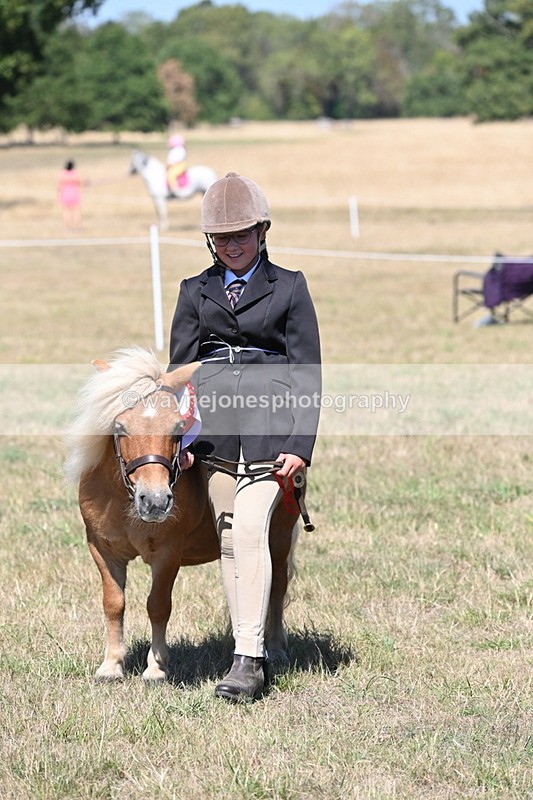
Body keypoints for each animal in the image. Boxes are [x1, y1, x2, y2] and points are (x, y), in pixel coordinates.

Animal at [65, 346, 298, 683]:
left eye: (177, 429)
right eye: (120, 428)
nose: (155, 501)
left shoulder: (167, 553)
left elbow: (158, 605)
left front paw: (156, 667)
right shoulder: (102, 550)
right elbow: (114, 603)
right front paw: (111, 666)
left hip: (277, 535)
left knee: (277, 584)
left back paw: (276, 649)